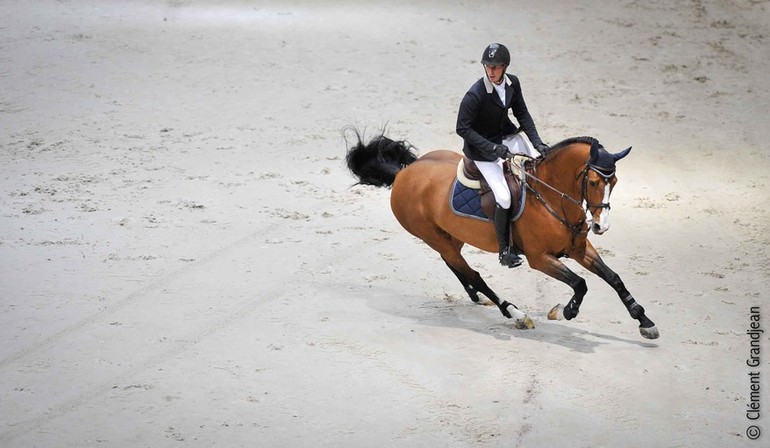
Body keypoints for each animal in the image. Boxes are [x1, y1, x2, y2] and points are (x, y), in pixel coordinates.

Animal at [344, 130, 656, 340]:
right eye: (592, 182)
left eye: (614, 182)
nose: (602, 226)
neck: (552, 197)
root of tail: (403, 175)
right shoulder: (540, 259)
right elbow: (580, 283)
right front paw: (566, 311)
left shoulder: (579, 249)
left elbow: (614, 278)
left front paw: (645, 321)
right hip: (435, 238)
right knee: (473, 274)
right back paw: (515, 314)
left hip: (450, 236)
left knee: (457, 267)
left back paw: (475, 297)